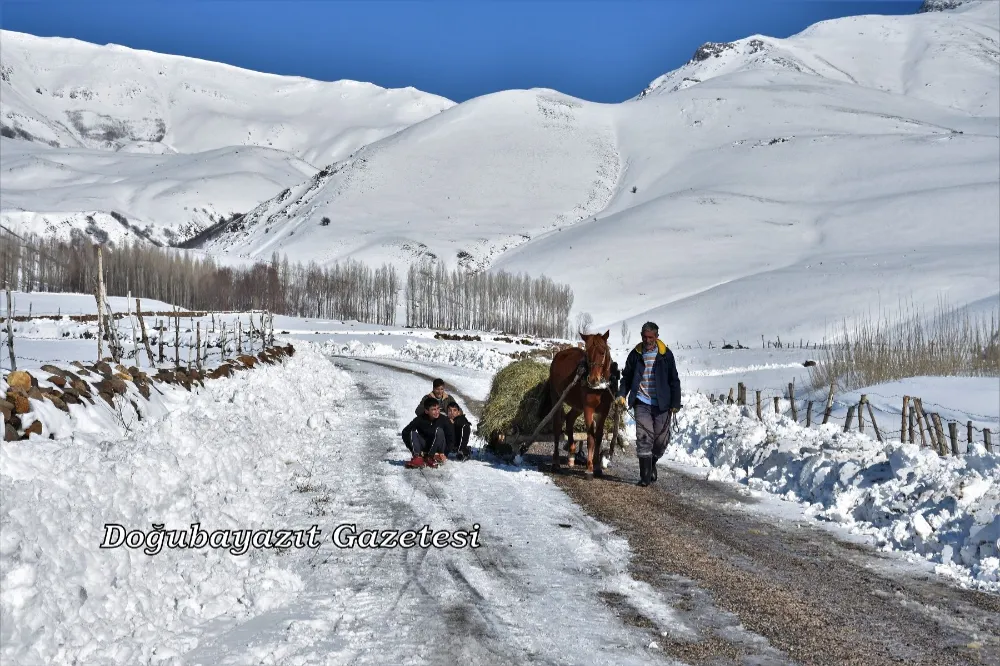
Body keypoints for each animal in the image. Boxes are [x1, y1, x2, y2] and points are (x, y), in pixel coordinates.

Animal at [544, 330, 612, 474]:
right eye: (587, 352)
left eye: (603, 352)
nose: (593, 379)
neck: (599, 389)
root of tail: (559, 354)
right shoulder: (588, 409)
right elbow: (590, 437)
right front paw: (589, 468)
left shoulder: (603, 411)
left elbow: (598, 437)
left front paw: (597, 466)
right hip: (557, 397)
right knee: (557, 426)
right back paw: (556, 462)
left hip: (577, 405)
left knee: (569, 419)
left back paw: (571, 455)